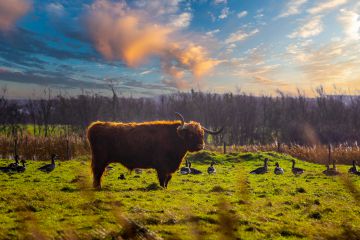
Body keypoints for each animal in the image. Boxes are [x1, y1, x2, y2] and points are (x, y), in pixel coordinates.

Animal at [86, 113, 222, 189]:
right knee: (98, 172)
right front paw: (162, 188)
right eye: (190, 134)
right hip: (100, 159)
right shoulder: (162, 166)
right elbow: (163, 178)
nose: (200, 145)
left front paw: (165, 188)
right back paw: (98, 186)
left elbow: (168, 178)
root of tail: (95, 125)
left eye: (202, 134)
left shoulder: (170, 166)